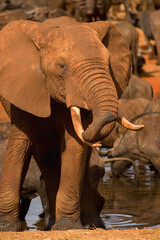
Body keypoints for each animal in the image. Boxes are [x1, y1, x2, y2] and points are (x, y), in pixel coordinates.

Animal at [0, 15, 145, 232]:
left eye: (108, 62)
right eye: (62, 67)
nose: (110, 116)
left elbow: (74, 145)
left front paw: (67, 227)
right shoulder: (23, 91)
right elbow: (20, 143)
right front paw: (7, 228)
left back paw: (91, 224)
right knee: (46, 156)